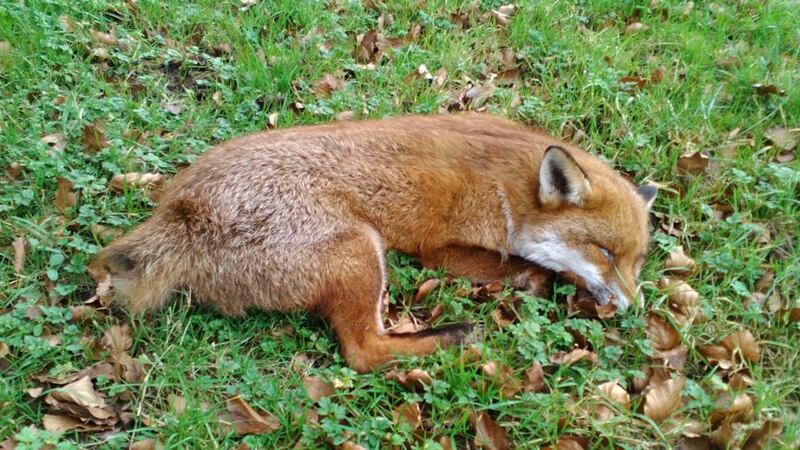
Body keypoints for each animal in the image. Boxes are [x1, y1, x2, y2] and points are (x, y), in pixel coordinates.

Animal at [90, 113, 656, 373]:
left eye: (637, 261)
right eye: (605, 253)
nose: (634, 309)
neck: (510, 187)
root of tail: (178, 216)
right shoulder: (439, 250)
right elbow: (519, 266)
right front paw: (546, 280)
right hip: (362, 249)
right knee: (364, 351)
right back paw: (455, 335)